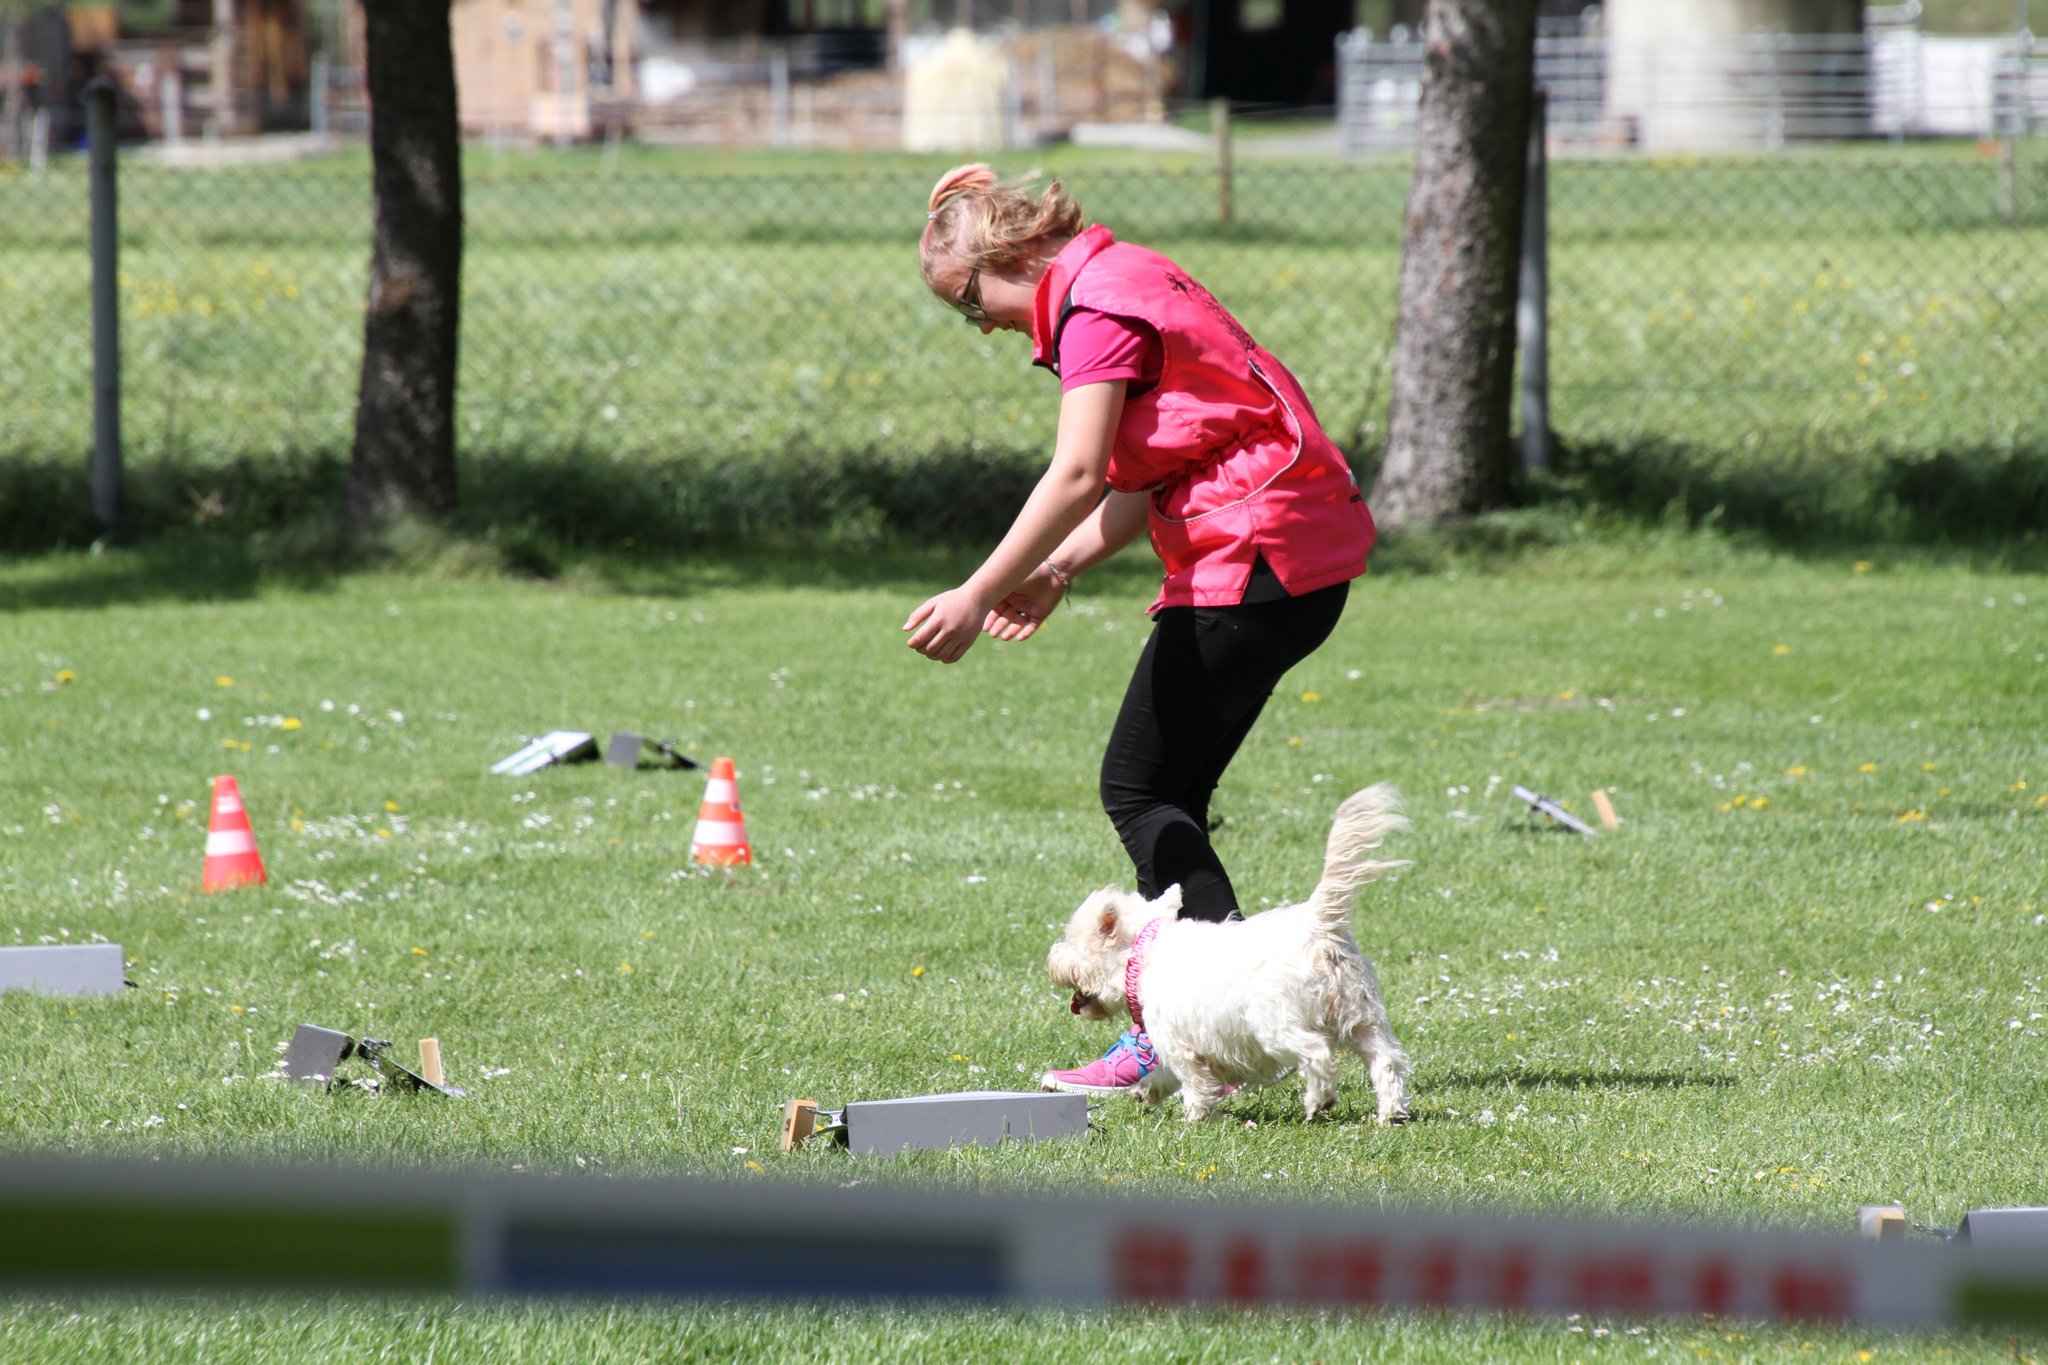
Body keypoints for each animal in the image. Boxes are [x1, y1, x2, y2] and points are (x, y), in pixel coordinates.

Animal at [1044, 783, 1412, 1124]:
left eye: (1070, 940)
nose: (1051, 959)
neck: (1143, 952)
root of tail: (1319, 923)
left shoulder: (1179, 1042)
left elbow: (1193, 1082)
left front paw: (1194, 1119)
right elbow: (1166, 1074)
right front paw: (1145, 1091)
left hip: (1277, 1025)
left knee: (1317, 1054)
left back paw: (1319, 1102)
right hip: (1363, 1018)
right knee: (1386, 1061)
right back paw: (1390, 1115)